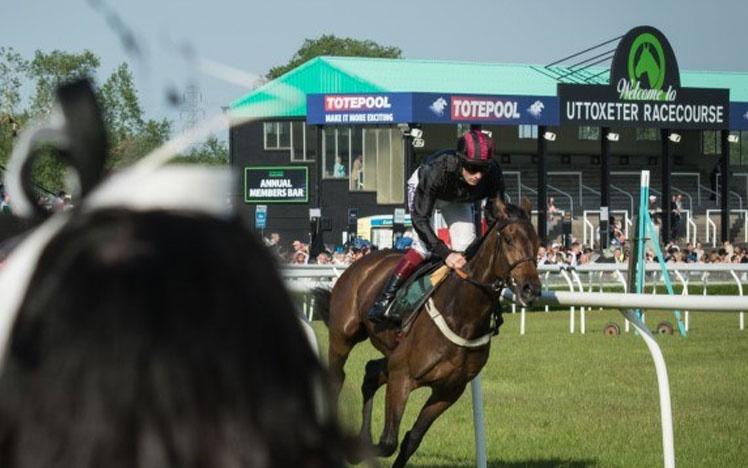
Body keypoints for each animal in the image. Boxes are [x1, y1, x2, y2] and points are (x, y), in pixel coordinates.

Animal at [312, 199, 540, 466]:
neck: (461, 315)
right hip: (344, 335)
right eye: (509, 239)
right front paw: (356, 450)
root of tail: (363, 261)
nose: (531, 289)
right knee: (337, 377)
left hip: (392, 353)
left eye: (536, 240)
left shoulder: (449, 389)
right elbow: (389, 442)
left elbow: (411, 439)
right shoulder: (402, 376)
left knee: (371, 372)